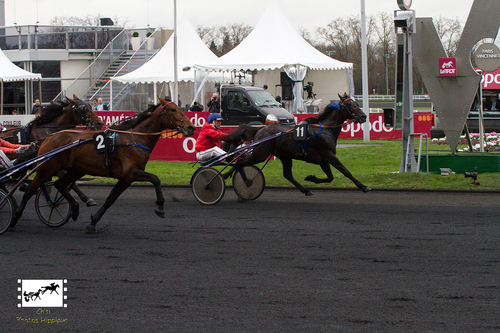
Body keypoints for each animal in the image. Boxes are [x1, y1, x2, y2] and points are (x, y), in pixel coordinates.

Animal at [10, 94, 195, 232]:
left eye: (181, 108)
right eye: (173, 110)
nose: (191, 128)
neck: (134, 138)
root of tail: (48, 137)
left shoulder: (126, 178)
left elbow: (110, 199)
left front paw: (93, 223)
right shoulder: (132, 173)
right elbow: (156, 179)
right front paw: (160, 207)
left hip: (75, 169)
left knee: (60, 185)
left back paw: (75, 208)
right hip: (47, 168)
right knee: (32, 190)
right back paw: (14, 219)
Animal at [227, 93, 372, 196]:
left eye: (356, 102)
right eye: (350, 105)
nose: (364, 116)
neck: (326, 129)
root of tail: (260, 129)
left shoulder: (323, 159)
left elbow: (330, 177)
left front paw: (311, 178)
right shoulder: (329, 155)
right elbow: (346, 172)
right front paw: (364, 186)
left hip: (284, 156)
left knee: (287, 175)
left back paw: (305, 190)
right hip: (260, 154)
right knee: (239, 162)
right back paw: (234, 178)